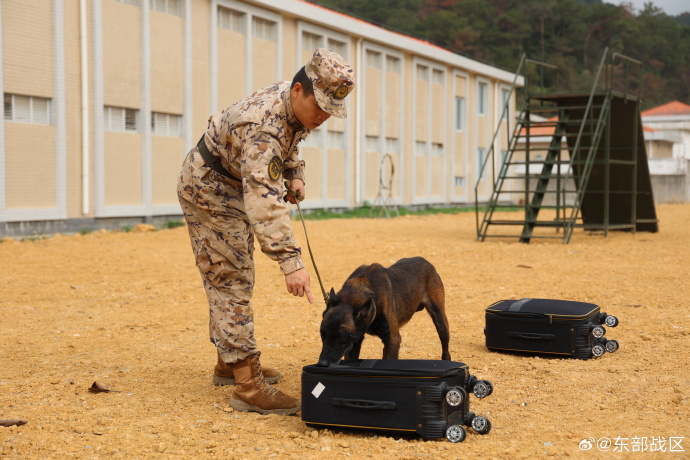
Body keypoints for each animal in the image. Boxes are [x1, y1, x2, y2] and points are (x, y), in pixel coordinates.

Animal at [314, 255, 448, 366]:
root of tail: (425, 261)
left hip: (440, 320)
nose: (322, 363)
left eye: (341, 338)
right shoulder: (355, 342)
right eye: (322, 334)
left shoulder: (392, 340)